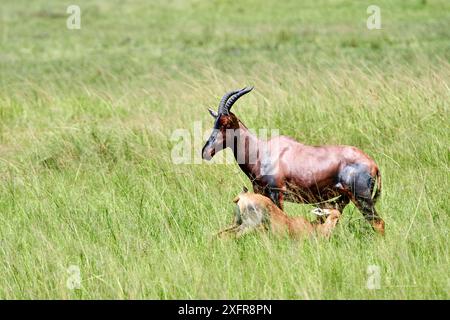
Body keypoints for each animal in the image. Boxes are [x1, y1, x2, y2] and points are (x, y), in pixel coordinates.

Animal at [202, 86, 384, 234]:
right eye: (215, 122)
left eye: (226, 123)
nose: (206, 151)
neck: (261, 150)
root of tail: (373, 164)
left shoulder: (276, 192)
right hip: (346, 197)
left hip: (362, 197)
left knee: (378, 223)